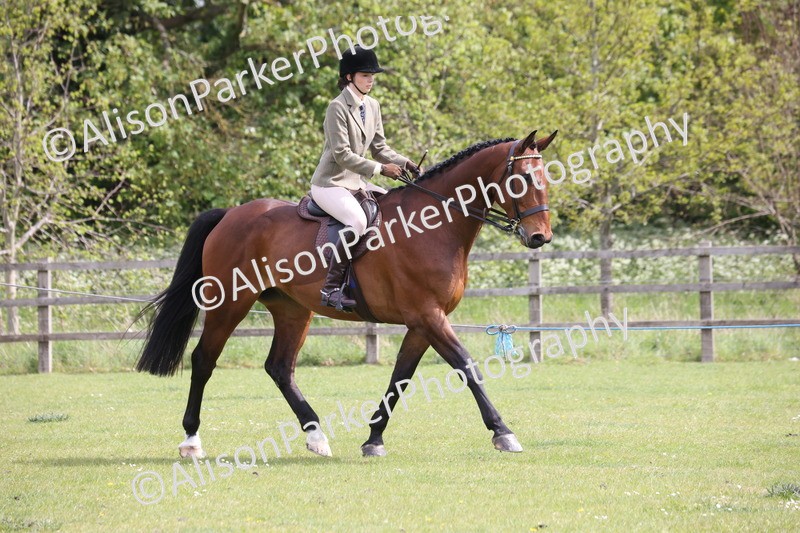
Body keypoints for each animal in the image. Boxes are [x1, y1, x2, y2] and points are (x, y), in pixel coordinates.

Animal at [135, 129, 557, 458]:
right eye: (521, 179)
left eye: (546, 179)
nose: (540, 238)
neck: (434, 225)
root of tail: (230, 214)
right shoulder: (428, 316)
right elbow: (466, 366)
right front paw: (503, 432)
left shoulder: (422, 322)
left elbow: (400, 377)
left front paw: (373, 438)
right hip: (230, 303)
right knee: (204, 359)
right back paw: (191, 439)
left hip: (292, 309)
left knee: (280, 367)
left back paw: (316, 436)